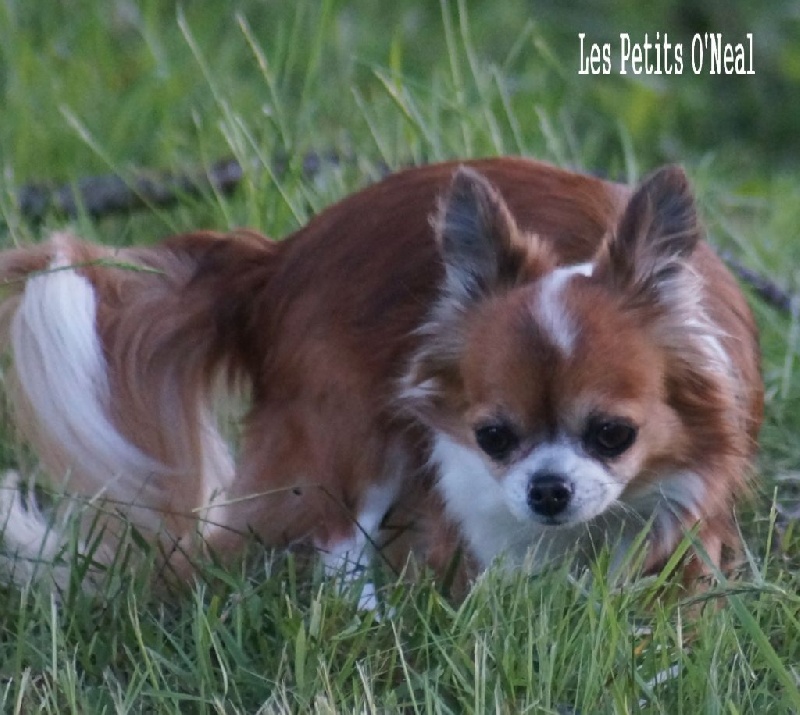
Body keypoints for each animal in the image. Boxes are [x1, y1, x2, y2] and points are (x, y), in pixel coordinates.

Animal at [0, 158, 764, 600]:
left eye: (613, 434)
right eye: (492, 437)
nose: (548, 490)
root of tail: (274, 261)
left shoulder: (689, 513)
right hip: (351, 436)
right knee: (336, 541)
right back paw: (367, 624)